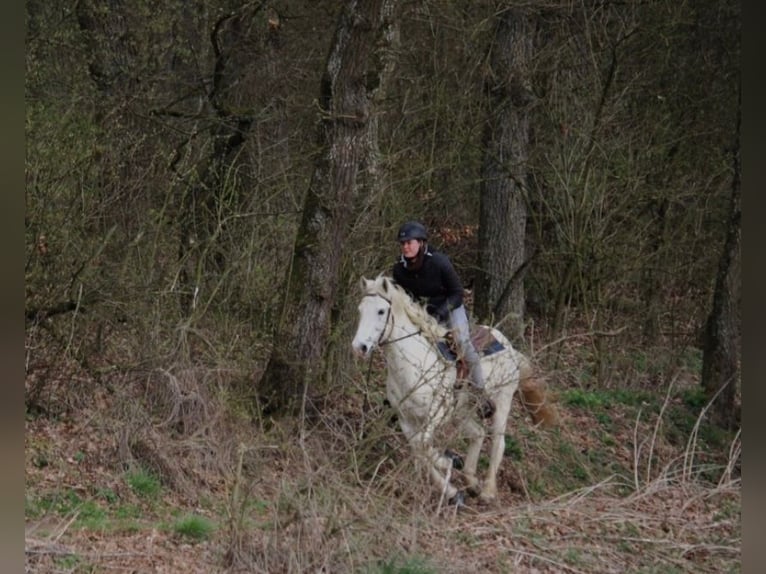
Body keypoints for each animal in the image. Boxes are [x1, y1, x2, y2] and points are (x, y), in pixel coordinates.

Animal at [350, 276, 560, 506]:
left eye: (381, 311)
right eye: (360, 310)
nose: (359, 347)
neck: (414, 363)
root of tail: (509, 346)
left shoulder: (436, 413)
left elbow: (424, 445)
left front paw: (447, 463)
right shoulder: (406, 419)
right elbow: (418, 449)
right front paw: (451, 490)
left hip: (502, 400)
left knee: (498, 442)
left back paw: (487, 491)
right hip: (461, 411)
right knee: (478, 433)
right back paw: (471, 481)